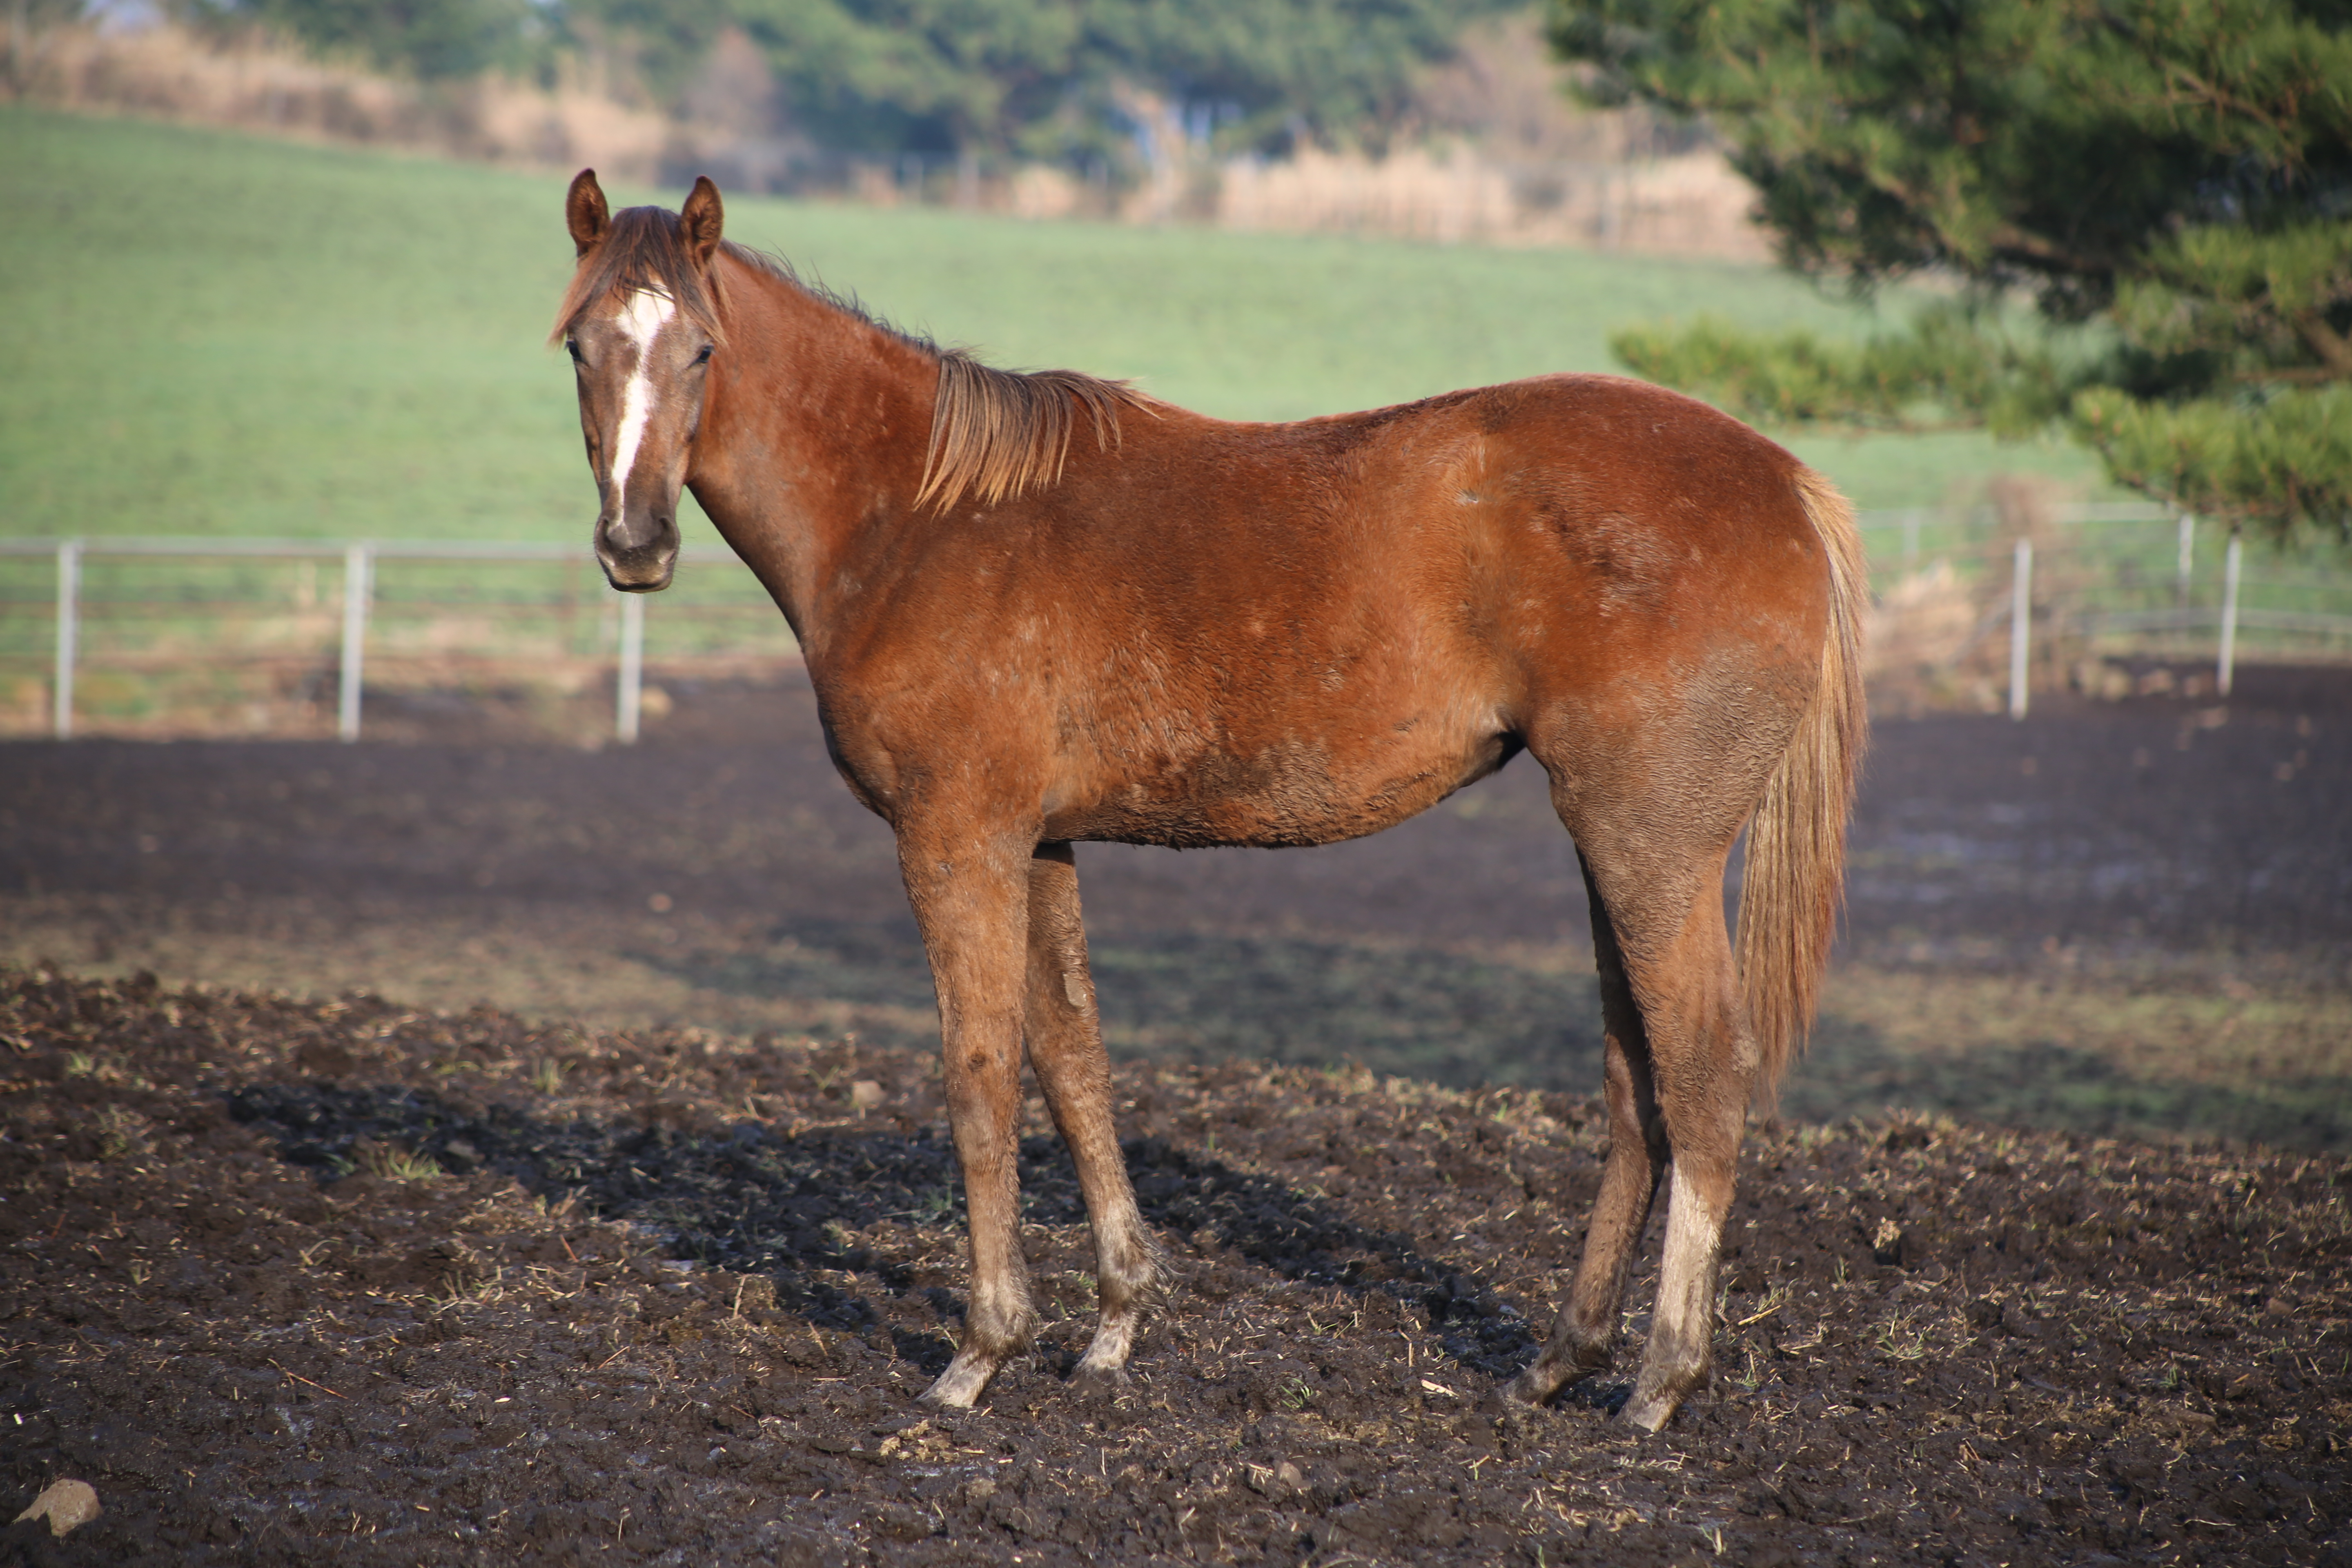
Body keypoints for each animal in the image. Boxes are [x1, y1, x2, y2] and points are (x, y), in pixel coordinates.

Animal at [559, 172, 1862, 1439]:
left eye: (702, 350)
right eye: (579, 345)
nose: (634, 544)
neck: (922, 514)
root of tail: (1784, 483)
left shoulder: (957, 838)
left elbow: (979, 1072)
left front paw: (982, 1351)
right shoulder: (1040, 842)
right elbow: (1071, 1058)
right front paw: (1113, 1325)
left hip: (1652, 850)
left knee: (1702, 1076)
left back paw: (1659, 1383)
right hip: (1615, 852)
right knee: (1635, 1088)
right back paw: (1558, 1362)